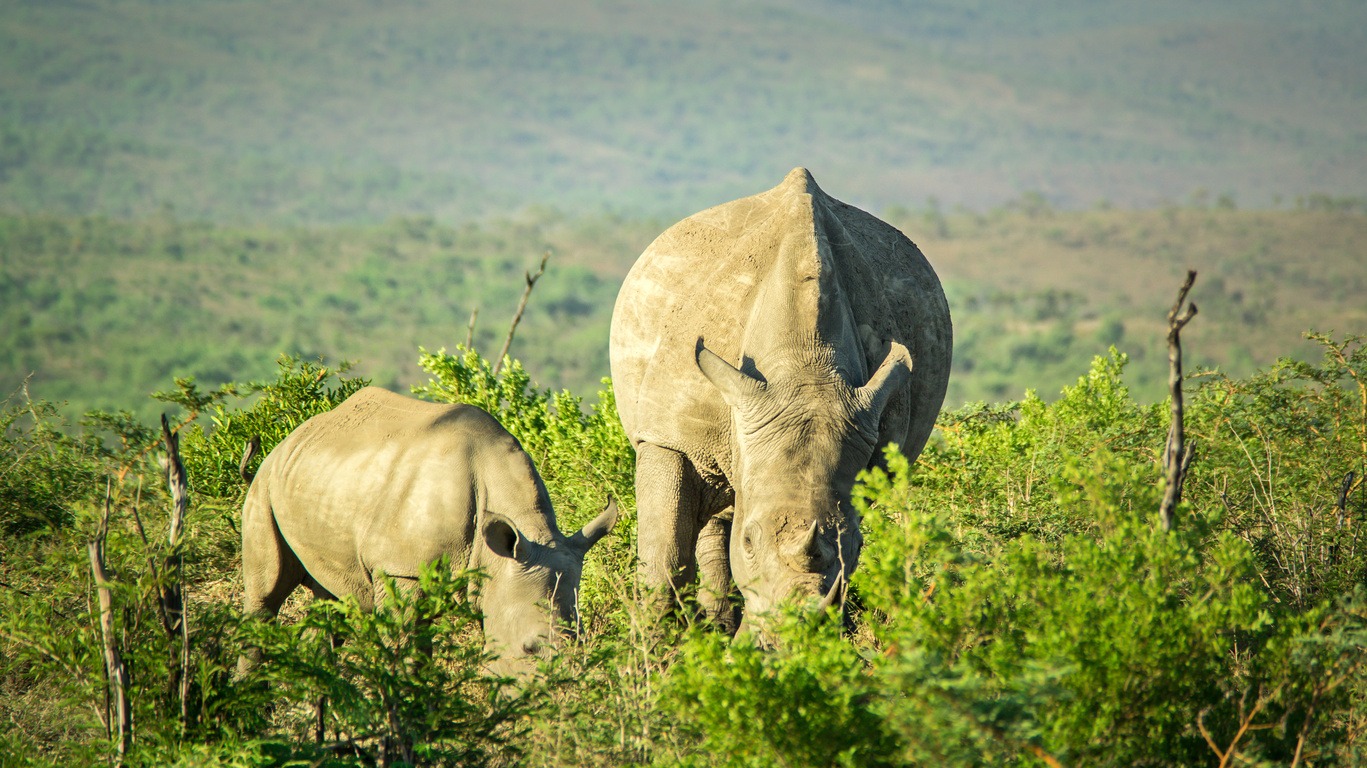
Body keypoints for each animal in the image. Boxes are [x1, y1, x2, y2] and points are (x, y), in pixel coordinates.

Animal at [239, 382, 615, 669]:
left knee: (331, 602)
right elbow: (407, 648)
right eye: (529, 648)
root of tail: (289, 437)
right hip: (266, 485)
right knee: (266, 594)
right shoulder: (401, 568)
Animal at [609, 168, 951, 634]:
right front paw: (655, 650)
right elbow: (663, 555)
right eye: (749, 542)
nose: (796, 624)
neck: (806, 367)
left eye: (858, 546)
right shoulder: (669, 435)